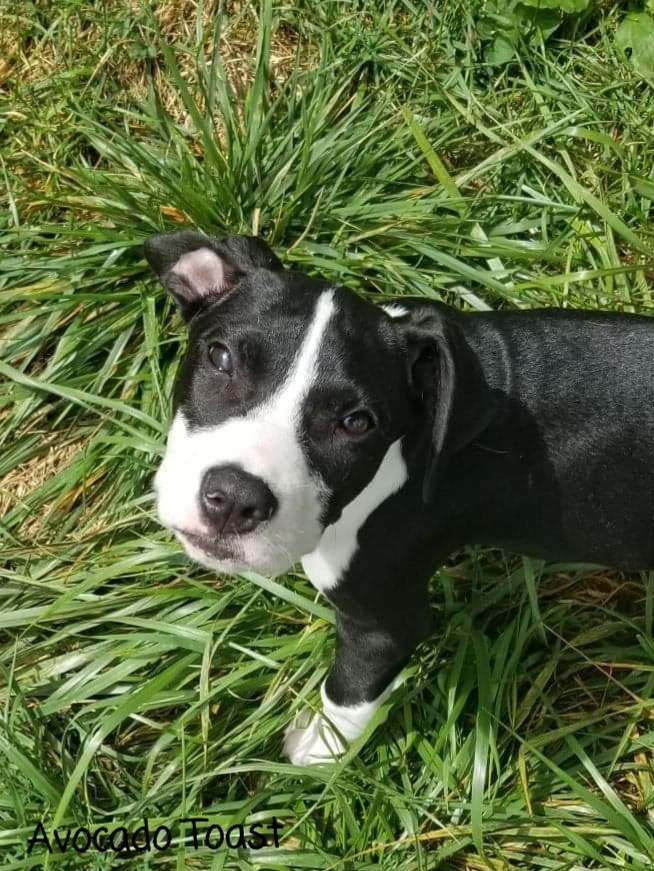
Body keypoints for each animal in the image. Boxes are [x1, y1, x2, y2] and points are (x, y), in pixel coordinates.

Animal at [146, 230, 654, 764]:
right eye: (220, 357)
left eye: (356, 423)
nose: (235, 499)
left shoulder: (383, 623)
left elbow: (348, 693)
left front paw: (321, 749)